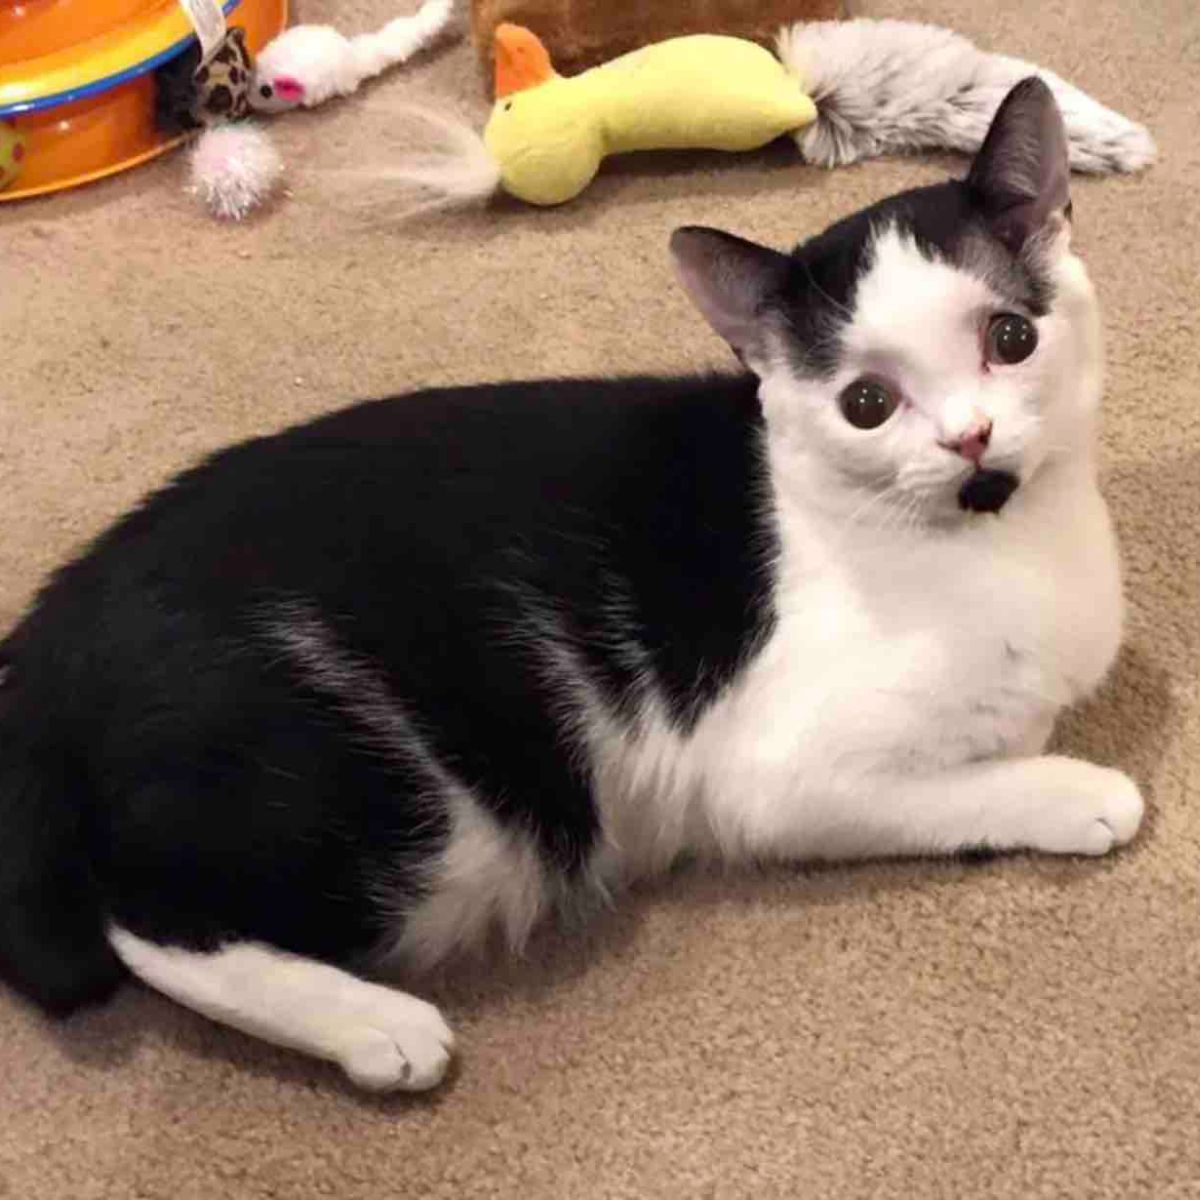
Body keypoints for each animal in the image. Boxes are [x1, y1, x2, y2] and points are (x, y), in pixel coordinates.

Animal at [0, 79, 1142, 1094]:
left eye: (1010, 339)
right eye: (867, 403)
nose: (970, 437)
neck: (1000, 545)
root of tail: (48, 640)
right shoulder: (772, 777)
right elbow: (964, 783)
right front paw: (1076, 791)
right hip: (417, 816)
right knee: (137, 922)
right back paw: (374, 1026)